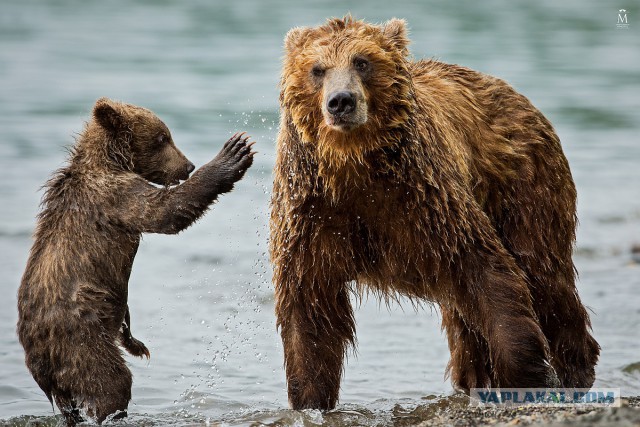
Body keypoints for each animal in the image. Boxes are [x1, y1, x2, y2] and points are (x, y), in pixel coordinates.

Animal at [268, 16, 596, 412]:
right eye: (318, 69)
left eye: (362, 61)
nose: (341, 101)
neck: (353, 164)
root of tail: (513, 92)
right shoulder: (312, 212)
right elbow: (310, 310)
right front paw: (310, 398)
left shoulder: (425, 198)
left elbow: (486, 270)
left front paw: (526, 372)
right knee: (465, 320)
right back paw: (475, 378)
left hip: (524, 187)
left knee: (544, 275)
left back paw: (576, 370)